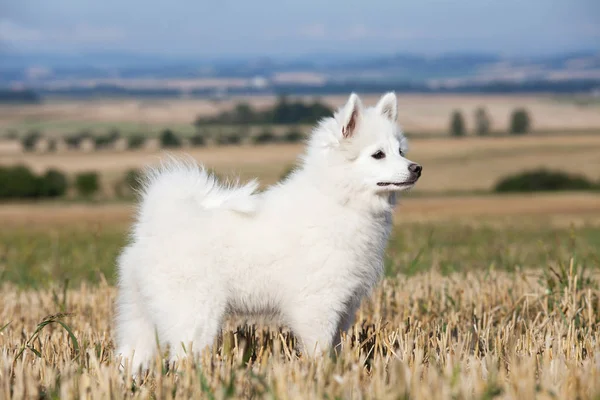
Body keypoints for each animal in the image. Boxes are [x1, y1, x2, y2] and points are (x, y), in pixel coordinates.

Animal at [112, 92, 422, 370]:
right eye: (378, 155)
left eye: (400, 151)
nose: (416, 168)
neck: (337, 198)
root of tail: (157, 223)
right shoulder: (317, 304)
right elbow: (319, 349)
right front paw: (322, 375)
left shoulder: (344, 305)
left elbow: (335, 346)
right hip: (194, 314)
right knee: (182, 358)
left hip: (141, 314)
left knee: (131, 355)